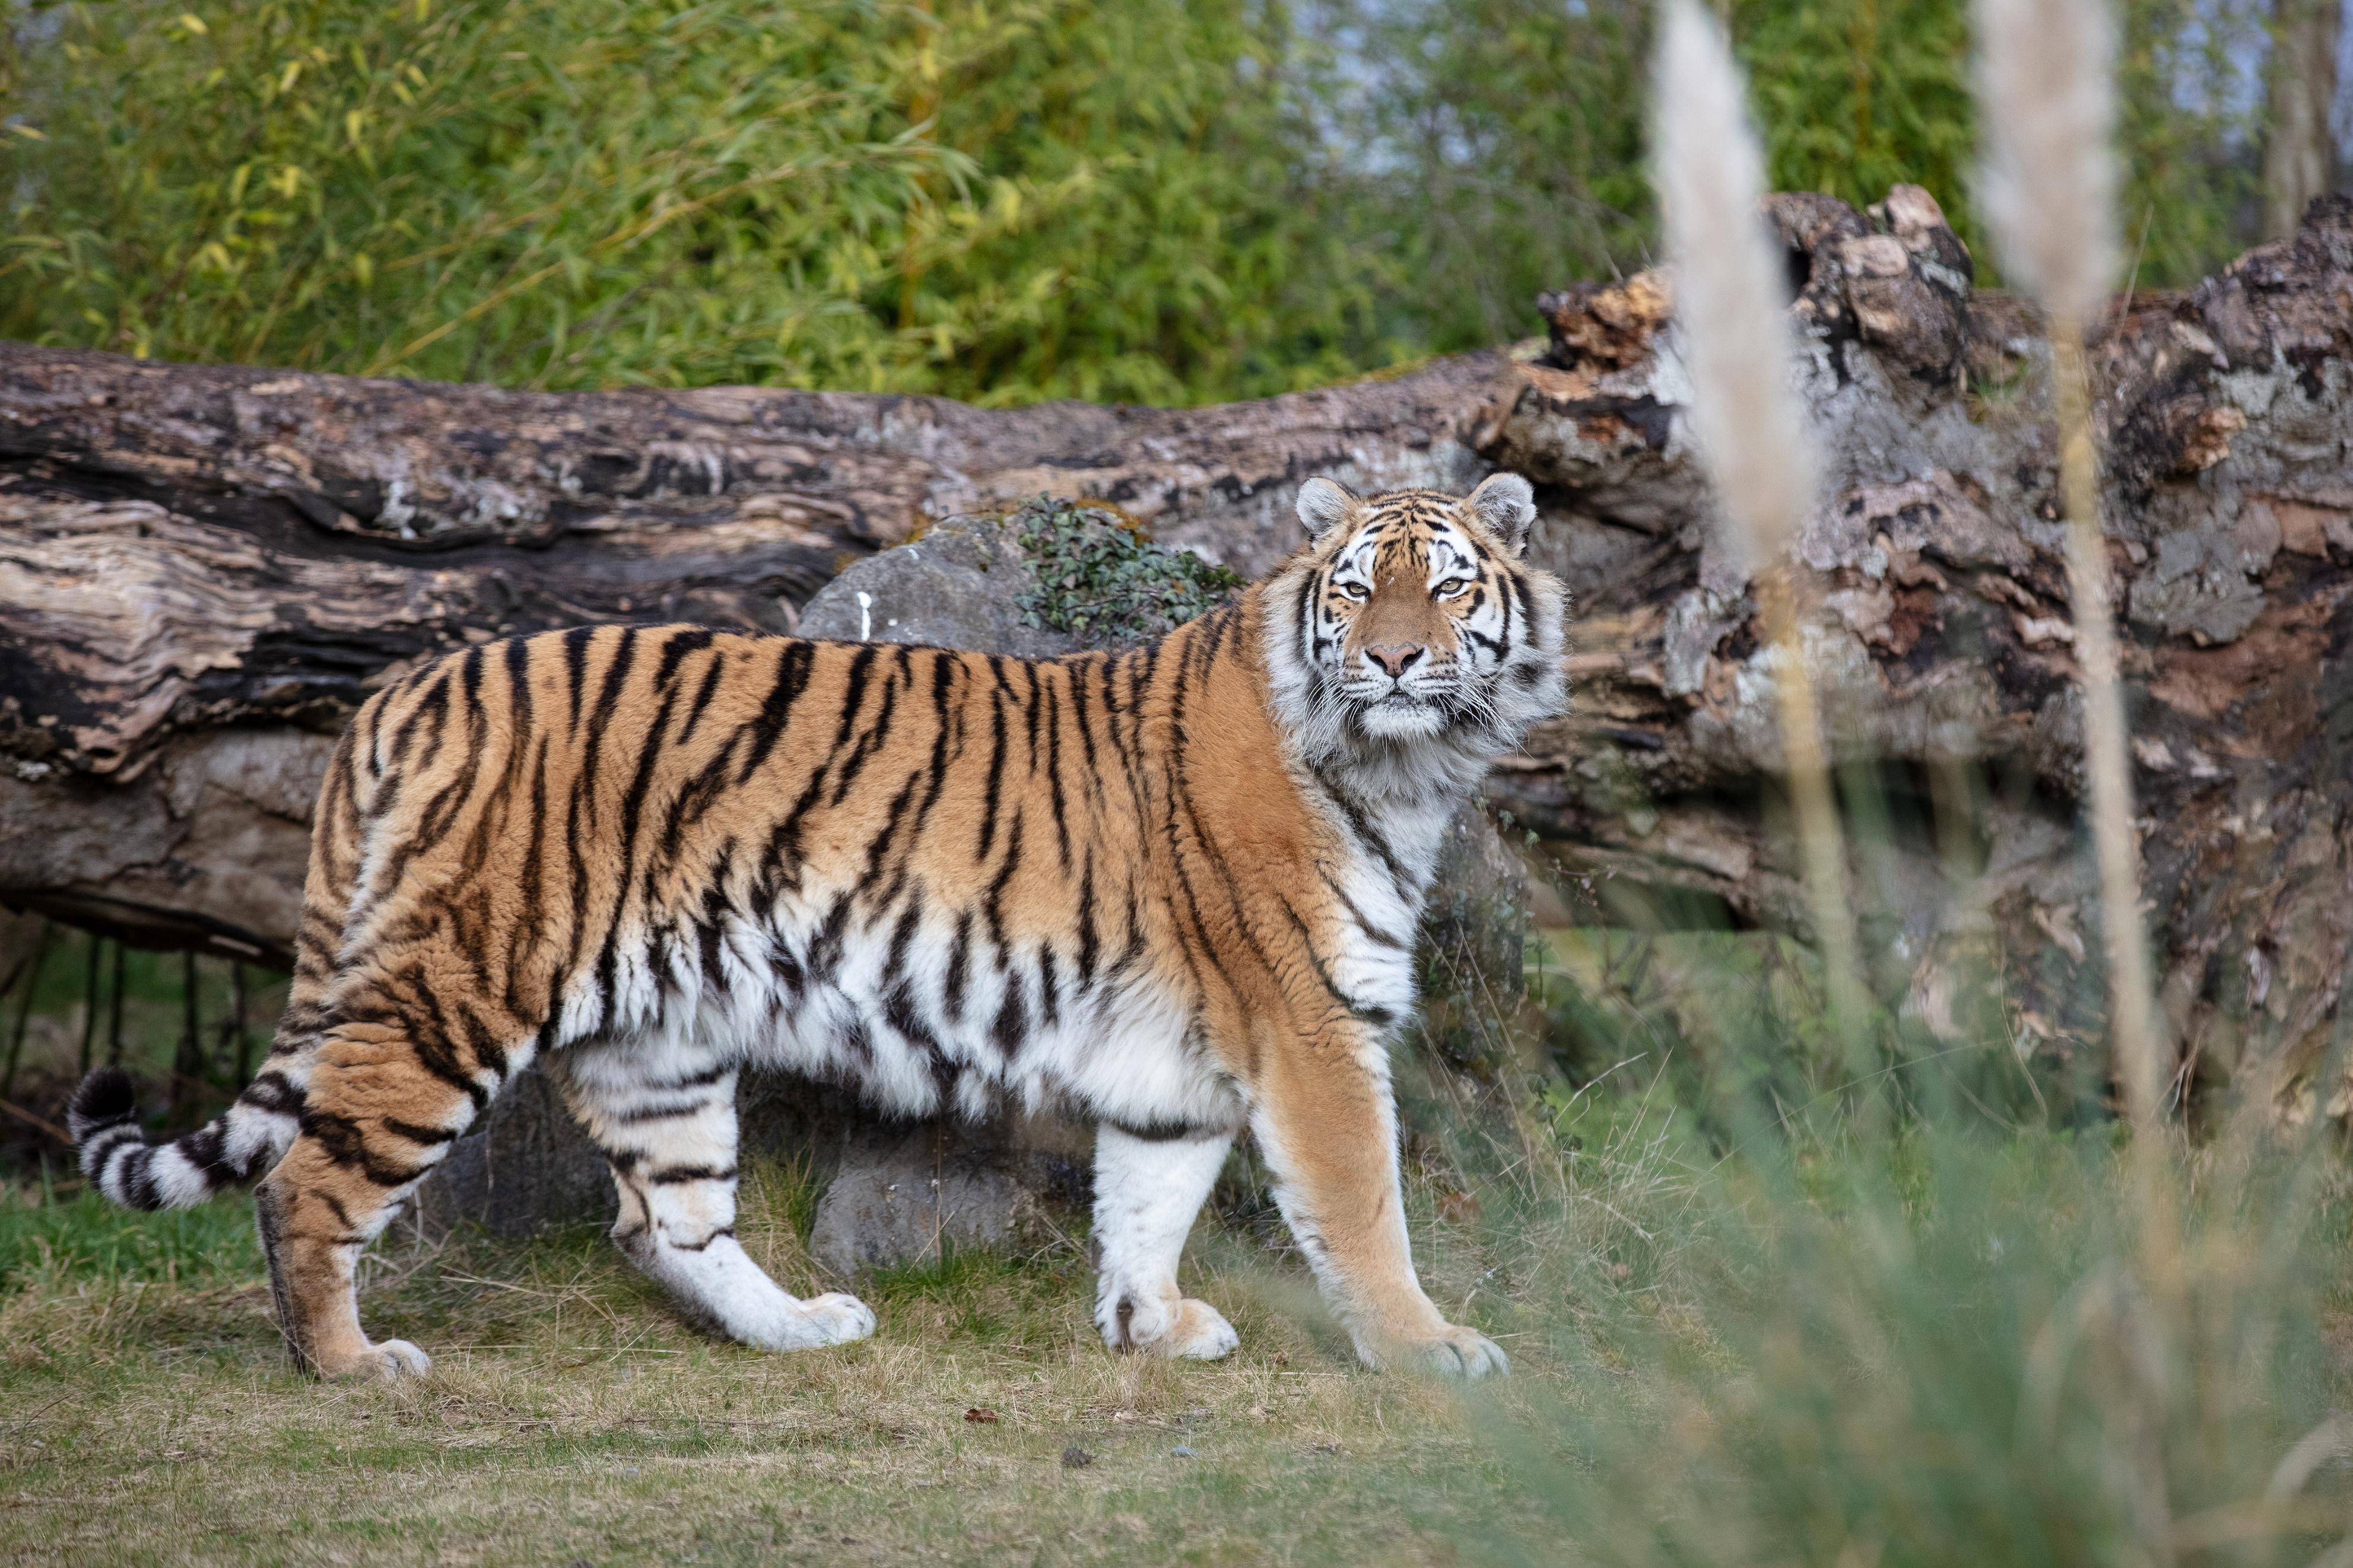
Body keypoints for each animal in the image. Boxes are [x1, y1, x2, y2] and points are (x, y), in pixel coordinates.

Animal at [73, 472, 1571, 1382]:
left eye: (1445, 585)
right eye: (1355, 586)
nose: (1390, 658)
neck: (1399, 770)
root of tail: (404, 687)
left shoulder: (1184, 1053)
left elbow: (1149, 1193)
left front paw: (1147, 1324)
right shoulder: (1310, 1026)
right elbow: (1361, 1204)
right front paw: (1429, 1346)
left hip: (658, 1040)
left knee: (662, 1221)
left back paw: (800, 1327)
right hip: (448, 997)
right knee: (304, 1183)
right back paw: (348, 1361)